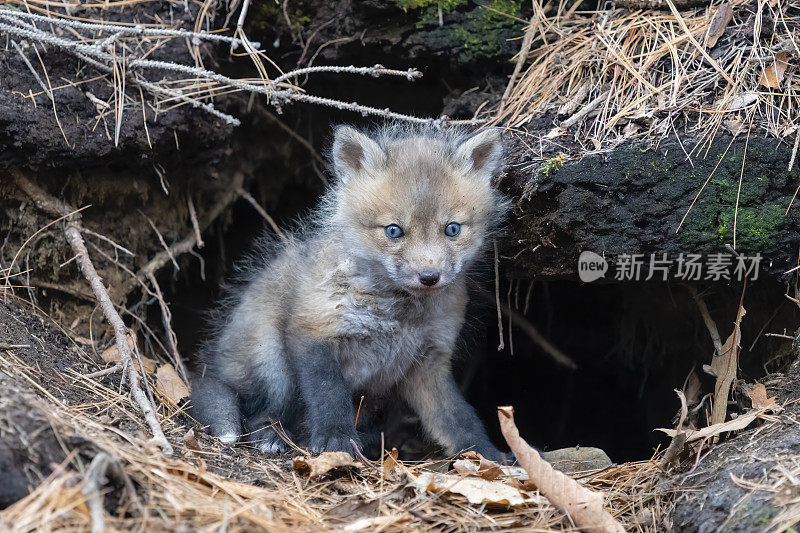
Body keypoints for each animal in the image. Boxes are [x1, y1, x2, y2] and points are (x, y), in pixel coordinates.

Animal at [191, 122, 510, 460]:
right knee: (259, 413)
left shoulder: (429, 361)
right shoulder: (316, 331)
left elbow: (457, 417)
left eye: (452, 229)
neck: (398, 315)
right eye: (394, 230)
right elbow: (329, 395)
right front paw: (336, 440)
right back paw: (272, 436)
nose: (429, 277)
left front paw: (488, 454)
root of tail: (212, 367)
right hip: (271, 358)